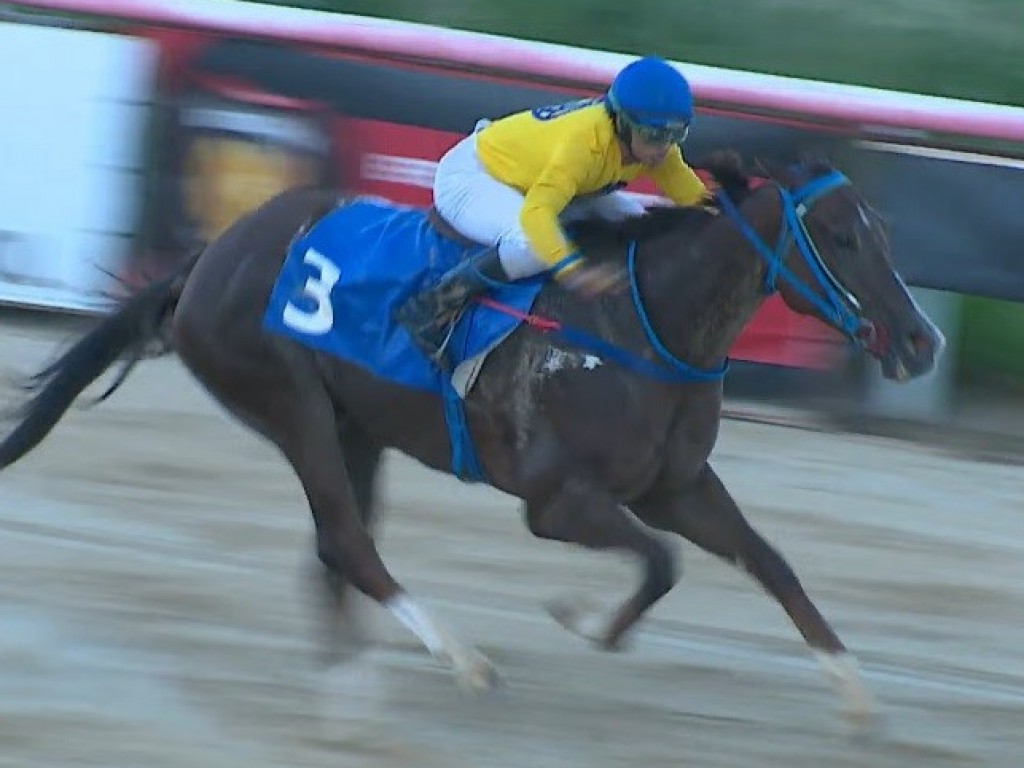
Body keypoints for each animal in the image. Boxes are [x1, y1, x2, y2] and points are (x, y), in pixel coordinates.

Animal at [0, 151, 942, 729]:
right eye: (843, 237)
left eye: (888, 233)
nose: (922, 340)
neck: (642, 324)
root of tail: (209, 258)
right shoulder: (556, 502)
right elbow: (660, 563)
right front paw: (582, 619)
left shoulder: (676, 486)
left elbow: (769, 562)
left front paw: (857, 696)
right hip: (287, 399)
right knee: (348, 540)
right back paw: (461, 662)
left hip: (357, 425)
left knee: (338, 549)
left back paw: (351, 692)